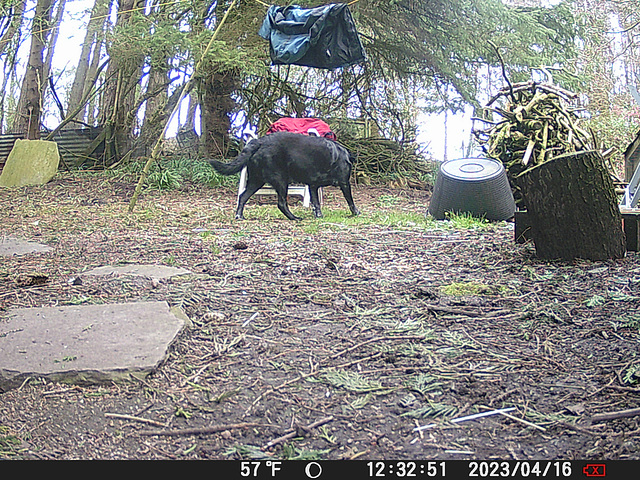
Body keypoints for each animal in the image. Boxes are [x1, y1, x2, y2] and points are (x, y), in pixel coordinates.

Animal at [209, 131, 360, 221]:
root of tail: (260, 142)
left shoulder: (313, 186)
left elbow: (316, 204)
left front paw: (319, 216)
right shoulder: (344, 183)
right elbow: (350, 201)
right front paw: (356, 212)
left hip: (256, 181)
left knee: (242, 196)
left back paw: (239, 216)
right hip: (281, 181)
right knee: (281, 203)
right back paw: (294, 218)